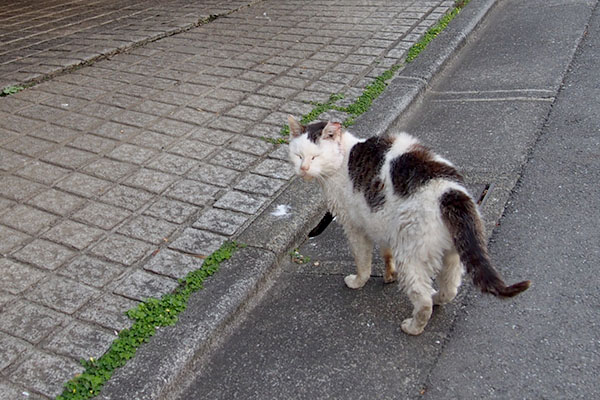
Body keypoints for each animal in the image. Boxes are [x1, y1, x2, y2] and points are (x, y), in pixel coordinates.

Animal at [286, 115, 528, 334]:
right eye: (298, 156)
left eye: (315, 157)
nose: (303, 168)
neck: (342, 160)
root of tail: (450, 192)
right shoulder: (381, 221)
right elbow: (386, 253)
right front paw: (388, 275)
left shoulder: (355, 227)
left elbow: (362, 261)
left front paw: (358, 281)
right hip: (451, 255)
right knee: (450, 289)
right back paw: (437, 297)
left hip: (411, 254)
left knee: (423, 300)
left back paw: (413, 327)